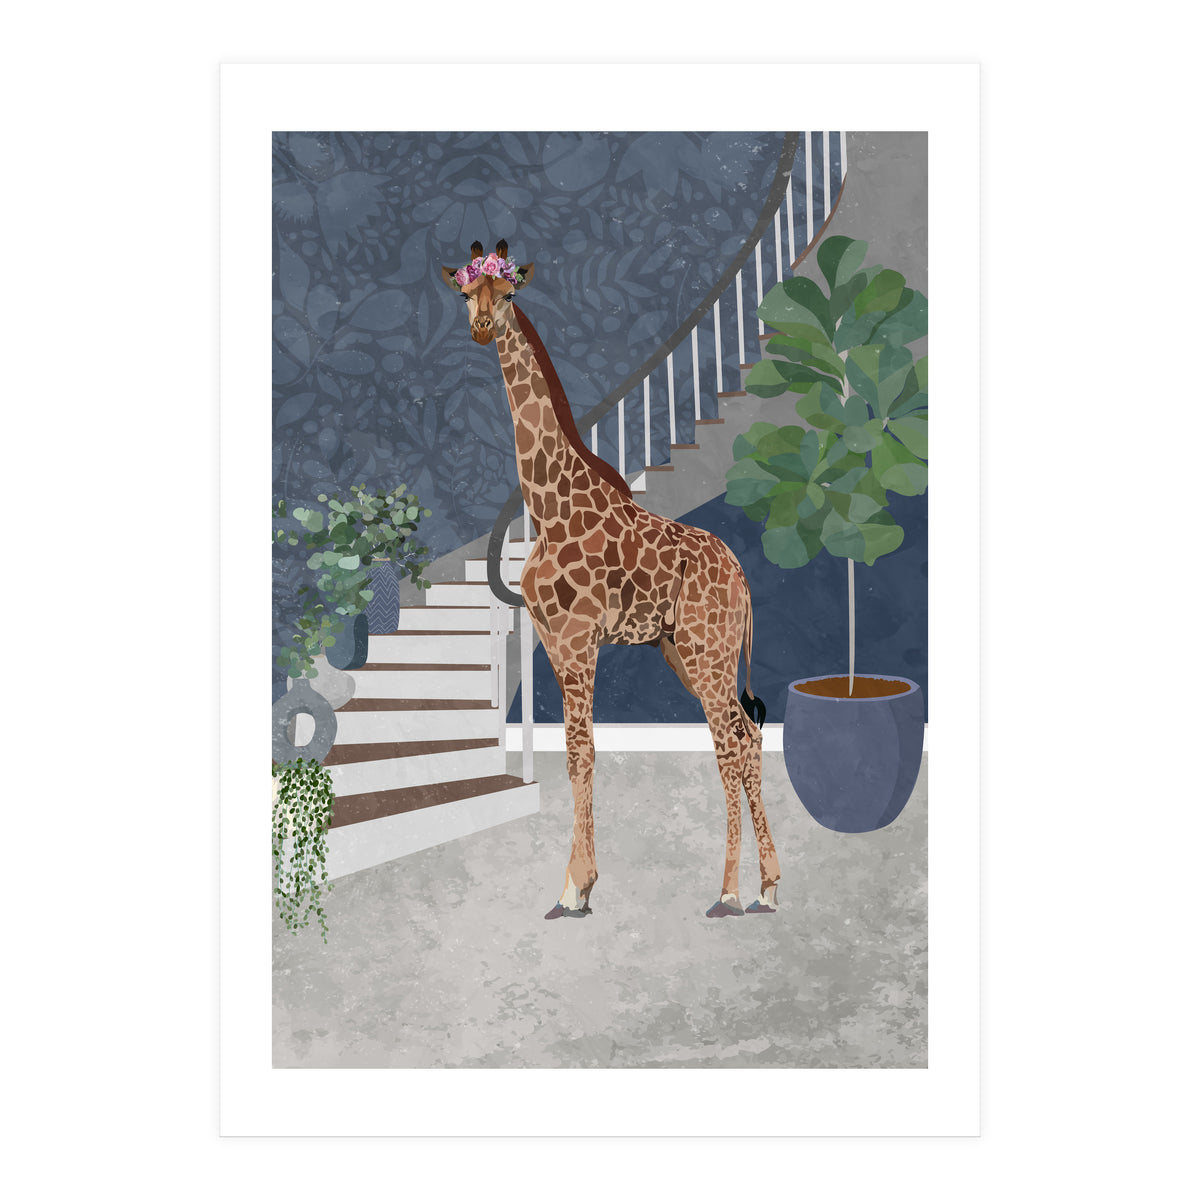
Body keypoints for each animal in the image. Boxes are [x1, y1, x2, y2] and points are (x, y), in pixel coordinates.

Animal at [441, 239, 780, 920]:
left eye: (508, 292)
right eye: (466, 292)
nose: (483, 327)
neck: (547, 505)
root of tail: (742, 576)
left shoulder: (578, 641)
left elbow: (582, 750)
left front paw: (575, 887)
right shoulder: (552, 641)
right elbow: (577, 754)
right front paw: (580, 883)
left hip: (707, 651)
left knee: (730, 744)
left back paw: (729, 891)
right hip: (688, 651)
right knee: (747, 736)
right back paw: (767, 886)